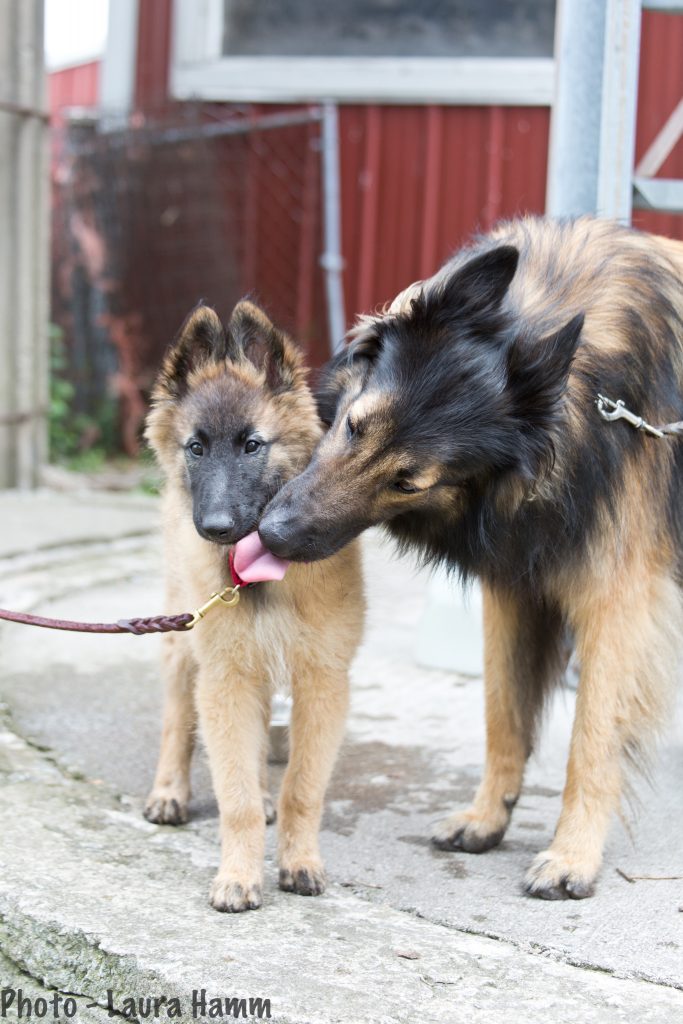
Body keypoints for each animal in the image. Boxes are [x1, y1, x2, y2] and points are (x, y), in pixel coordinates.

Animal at [145, 299, 366, 913]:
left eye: (252, 445)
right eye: (196, 447)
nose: (217, 528)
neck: (258, 577)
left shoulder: (323, 682)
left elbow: (302, 788)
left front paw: (299, 861)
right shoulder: (225, 678)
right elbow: (234, 793)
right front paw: (239, 876)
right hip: (180, 646)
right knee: (175, 719)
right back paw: (168, 791)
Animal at [260, 214, 683, 897]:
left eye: (408, 481)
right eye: (354, 425)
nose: (271, 535)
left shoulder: (619, 605)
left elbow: (592, 738)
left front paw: (572, 855)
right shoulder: (516, 588)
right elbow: (503, 714)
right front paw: (487, 818)